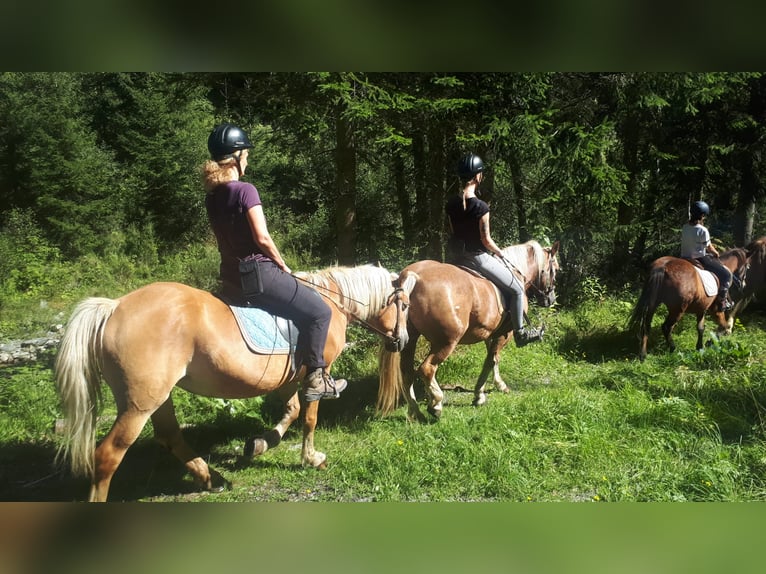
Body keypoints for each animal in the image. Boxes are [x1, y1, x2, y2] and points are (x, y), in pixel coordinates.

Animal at [54, 266, 412, 504]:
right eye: (405, 305)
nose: (403, 340)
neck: (333, 301)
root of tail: (113, 308)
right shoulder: (316, 374)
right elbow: (309, 417)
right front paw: (312, 459)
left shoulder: (289, 379)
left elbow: (292, 411)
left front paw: (259, 445)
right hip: (139, 403)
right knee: (108, 455)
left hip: (159, 396)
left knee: (169, 435)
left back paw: (211, 477)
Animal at [380, 240, 564, 424]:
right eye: (555, 269)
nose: (551, 299)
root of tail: (416, 276)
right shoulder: (505, 334)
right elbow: (491, 361)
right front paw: (479, 396)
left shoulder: (490, 333)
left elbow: (493, 360)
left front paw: (496, 385)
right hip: (446, 342)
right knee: (427, 369)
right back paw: (436, 405)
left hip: (410, 339)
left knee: (407, 372)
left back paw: (416, 412)